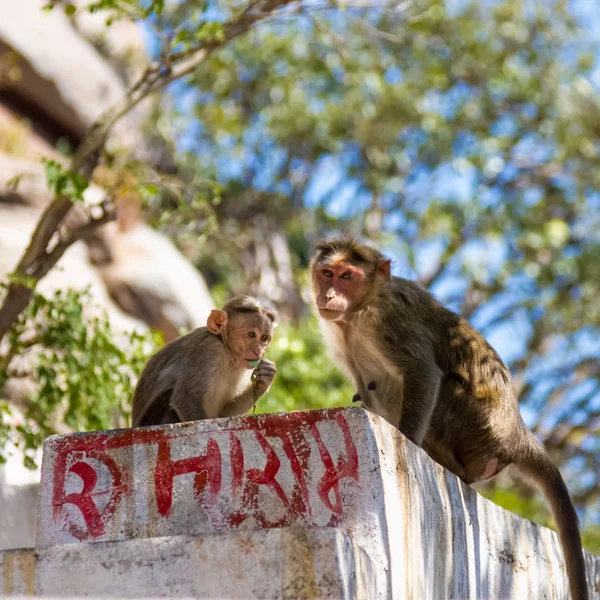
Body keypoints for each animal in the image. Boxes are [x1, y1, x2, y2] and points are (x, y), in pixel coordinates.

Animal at [131, 296, 276, 426]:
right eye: (251, 335)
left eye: (264, 338)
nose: (258, 351)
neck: (228, 354)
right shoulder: (209, 350)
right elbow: (185, 399)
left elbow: (225, 413)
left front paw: (266, 376)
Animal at [312, 233, 588, 600]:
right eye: (327, 273)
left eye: (347, 276)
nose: (329, 295)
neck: (358, 313)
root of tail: (517, 432)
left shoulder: (389, 320)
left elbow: (424, 372)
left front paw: (408, 443)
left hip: (475, 427)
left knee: (436, 388)